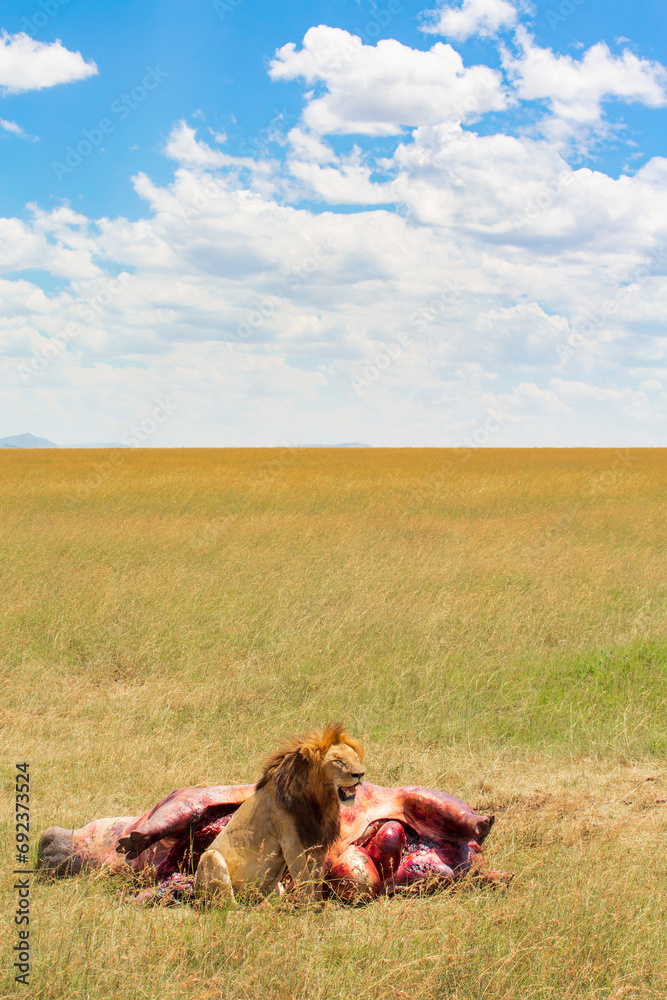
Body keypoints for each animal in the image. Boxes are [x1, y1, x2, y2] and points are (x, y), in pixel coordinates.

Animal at [193, 720, 366, 908]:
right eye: (338, 761)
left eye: (355, 758)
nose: (360, 774)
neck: (321, 801)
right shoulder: (291, 841)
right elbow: (304, 878)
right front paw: (309, 907)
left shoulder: (319, 842)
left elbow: (316, 877)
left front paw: (319, 904)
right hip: (211, 857)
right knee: (229, 905)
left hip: (276, 887)